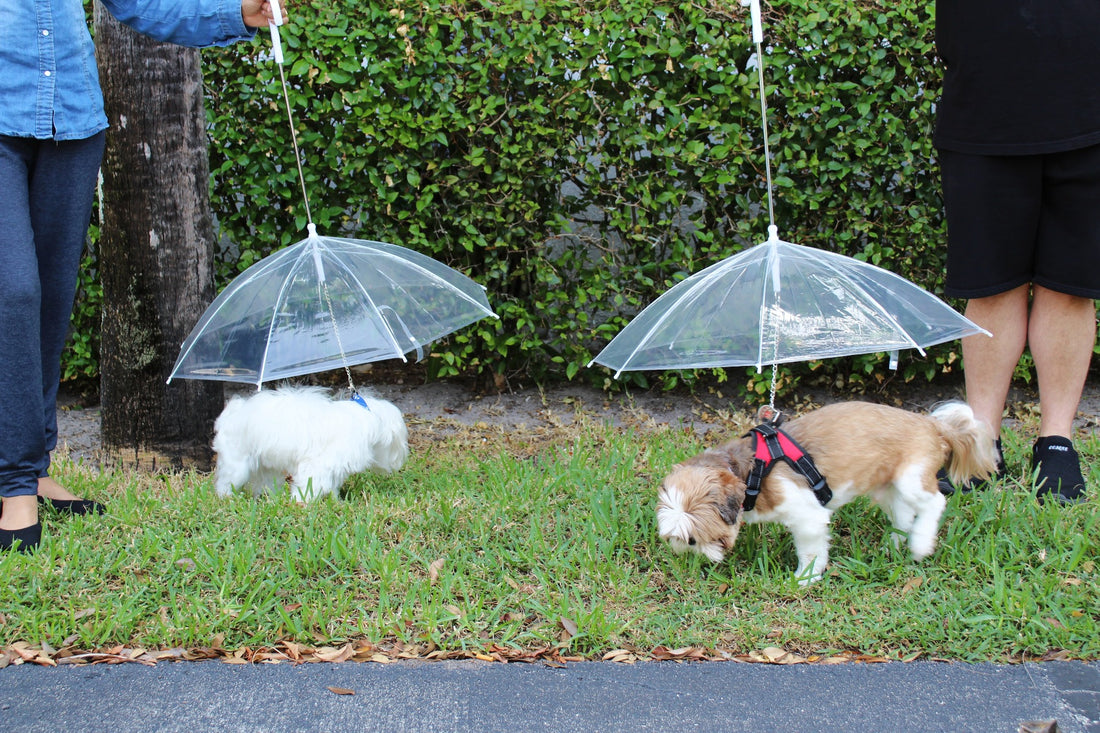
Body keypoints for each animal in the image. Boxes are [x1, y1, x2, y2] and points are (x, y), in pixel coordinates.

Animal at [211, 385, 409, 499]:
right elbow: (310, 486)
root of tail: (232, 413)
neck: (367, 415)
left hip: (266, 468)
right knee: (225, 483)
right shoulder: (317, 466)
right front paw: (302, 504)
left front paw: (335, 502)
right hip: (237, 465)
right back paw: (227, 498)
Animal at [655, 400, 1003, 581]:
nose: (686, 551)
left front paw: (804, 578)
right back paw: (895, 545)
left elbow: (811, 551)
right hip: (887, 487)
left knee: (934, 503)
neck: (752, 472)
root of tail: (934, 426)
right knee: (903, 515)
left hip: (911, 477)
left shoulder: (806, 515)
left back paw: (920, 543)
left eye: (693, 539)